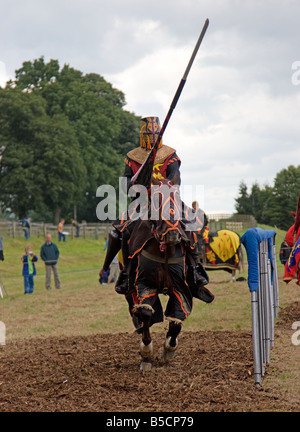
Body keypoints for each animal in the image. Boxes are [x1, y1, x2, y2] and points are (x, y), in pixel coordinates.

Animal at [125, 179, 206, 372]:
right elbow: (146, 312)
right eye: (156, 200)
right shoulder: (145, 284)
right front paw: (146, 352)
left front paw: (169, 348)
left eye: (176, 199)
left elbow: (177, 317)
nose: (173, 235)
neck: (164, 251)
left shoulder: (181, 288)